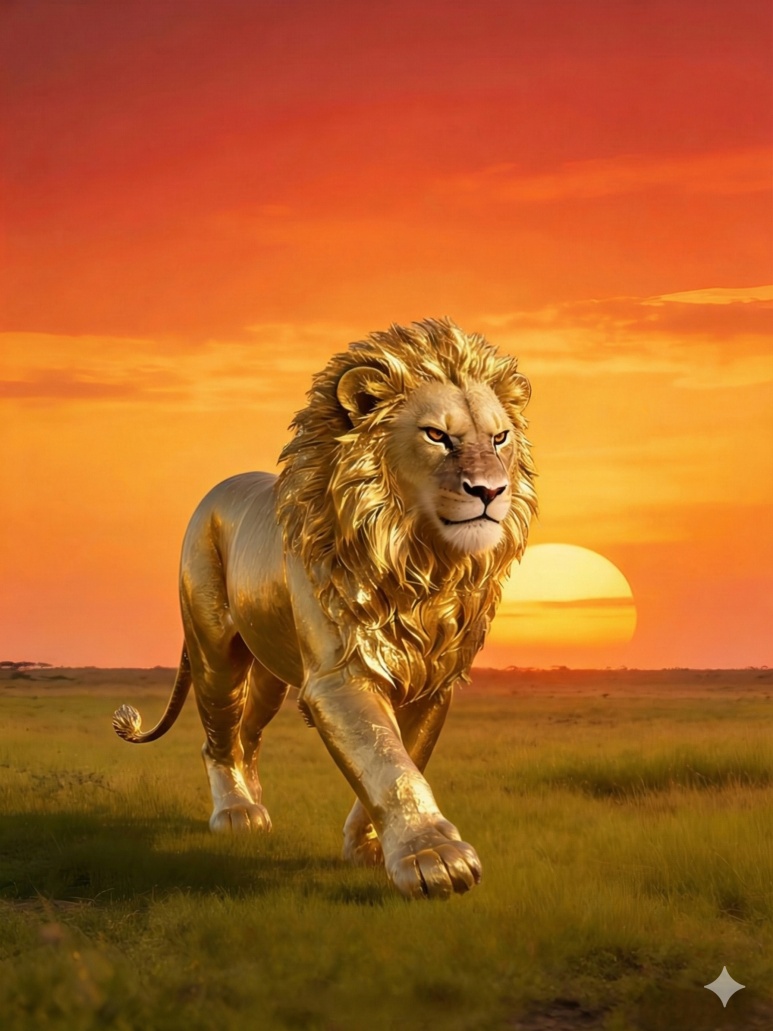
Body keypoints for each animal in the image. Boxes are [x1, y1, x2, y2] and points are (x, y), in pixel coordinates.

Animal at [113, 318, 536, 899]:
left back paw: (257, 802)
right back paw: (237, 812)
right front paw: (434, 857)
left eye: (499, 437)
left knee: (248, 735)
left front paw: (368, 849)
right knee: (218, 738)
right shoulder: (339, 675)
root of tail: (217, 490)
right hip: (214, 650)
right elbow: (386, 762)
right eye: (436, 435)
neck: (418, 560)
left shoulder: (433, 676)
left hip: (269, 668)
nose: (491, 491)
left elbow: (403, 754)